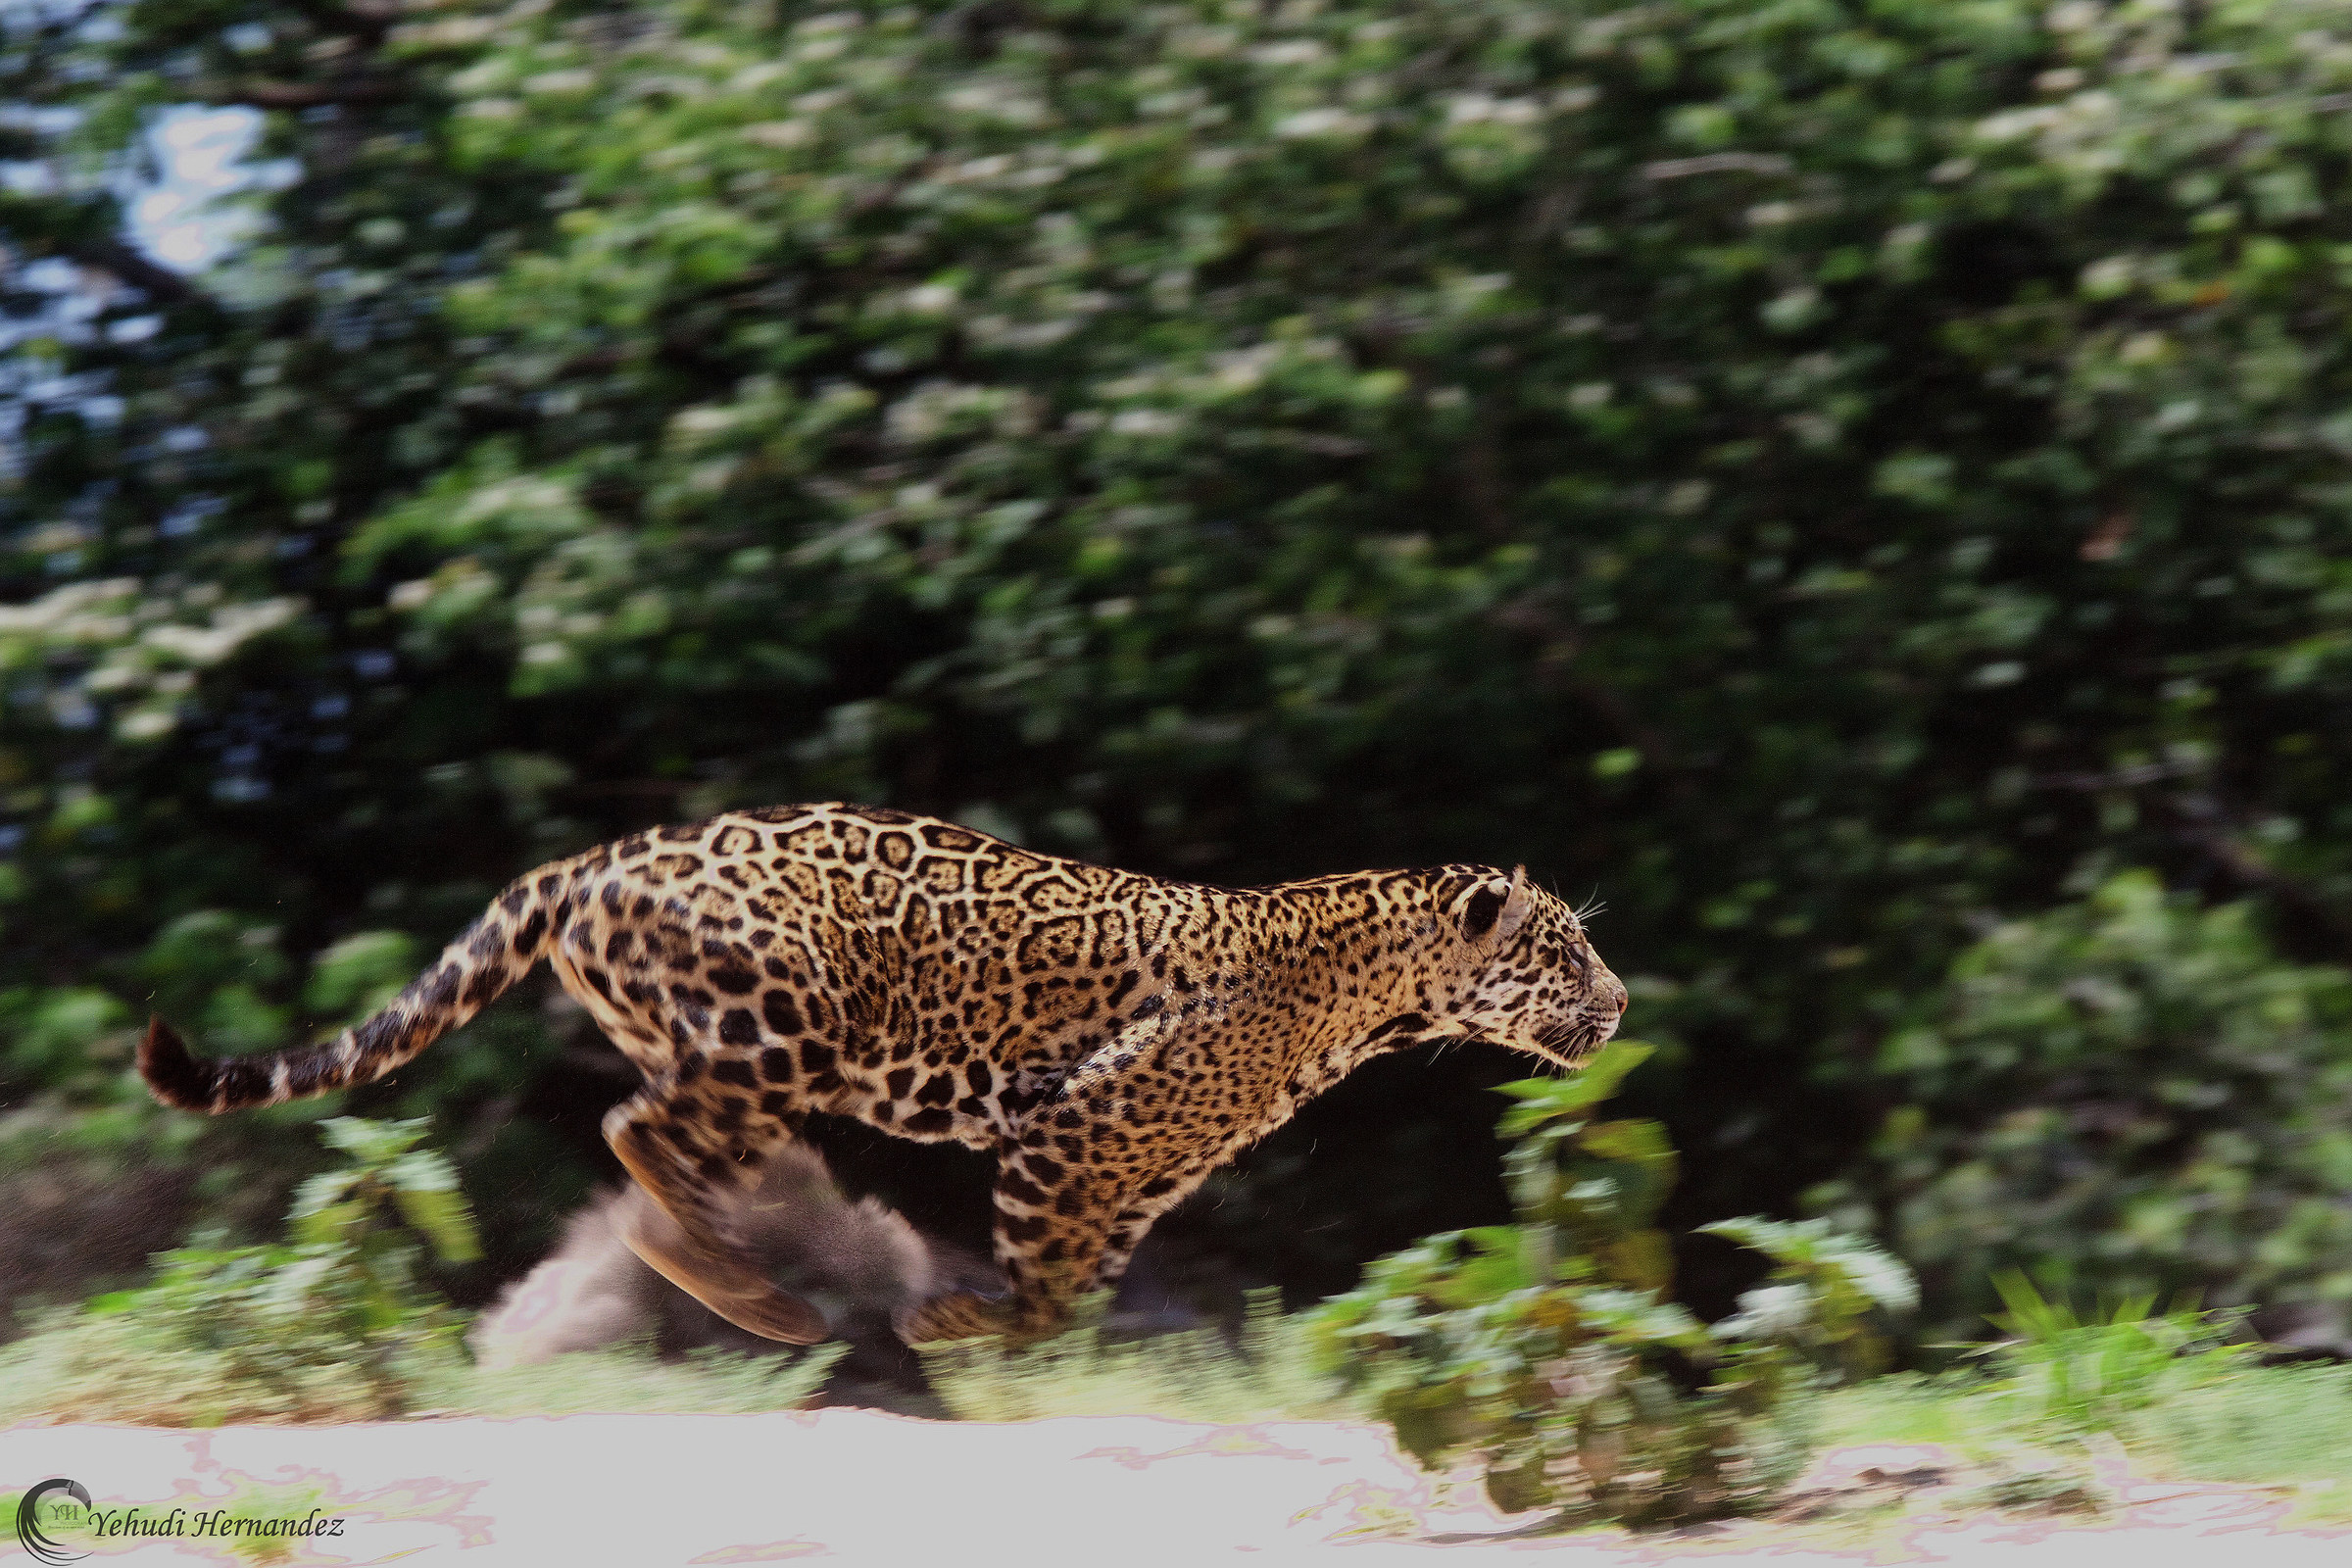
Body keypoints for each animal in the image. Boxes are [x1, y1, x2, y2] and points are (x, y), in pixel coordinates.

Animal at [140, 803, 1629, 1346]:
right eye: (1563, 950)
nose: (1619, 1005)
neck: (1376, 995)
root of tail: (602, 854)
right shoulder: (1074, 1135)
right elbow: (1045, 1293)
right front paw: (961, 1326)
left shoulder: (1131, 1179)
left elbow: (1077, 1298)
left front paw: (986, 1332)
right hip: (778, 1031)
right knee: (638, 1137)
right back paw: (760, 1298)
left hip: (737, 1050)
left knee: (656, 1141)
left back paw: (750, 1286)